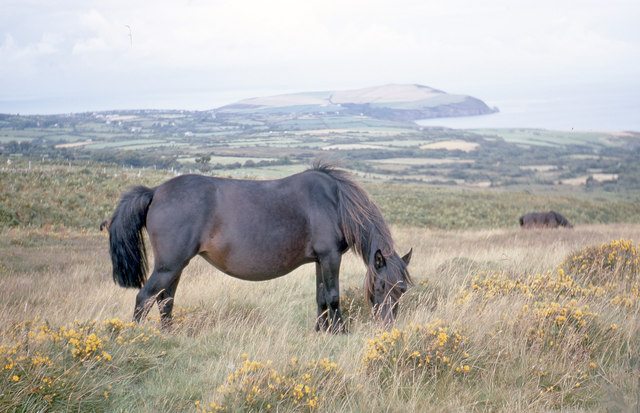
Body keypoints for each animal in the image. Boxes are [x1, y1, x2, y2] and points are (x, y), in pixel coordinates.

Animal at [107, 163, 412, 330]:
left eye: (402, 290)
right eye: (381, 286)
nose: (387, 326)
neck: (335, 201)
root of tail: (155, 192)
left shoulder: (321, 260)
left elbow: (321, 297)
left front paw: (321, 330)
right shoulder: (330, 257)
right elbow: (334, 297)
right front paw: (339, 331)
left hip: (175, 267)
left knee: (165, 300)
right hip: (169, 265)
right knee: (144, 298)